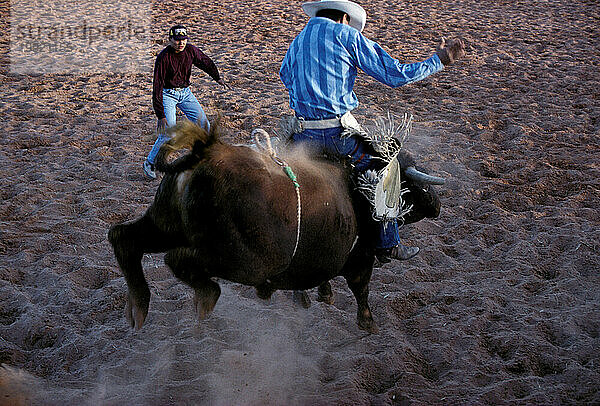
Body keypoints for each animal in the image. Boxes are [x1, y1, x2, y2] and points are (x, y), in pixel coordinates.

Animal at [108, 121, 442, 334]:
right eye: (411, 184)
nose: (437, 206)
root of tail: (206, 153)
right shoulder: (362, 257)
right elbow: (362, 288)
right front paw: (368, 322)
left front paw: (318, 295)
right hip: (248, 261)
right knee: (177, 259)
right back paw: (205, 297)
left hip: (164, 224)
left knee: (123, 238)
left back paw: (138, 307)